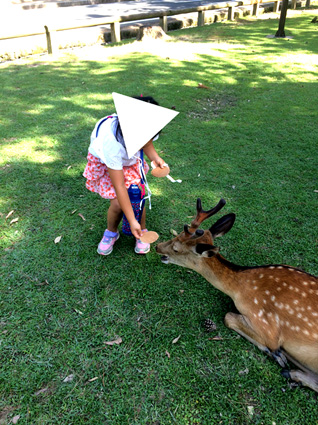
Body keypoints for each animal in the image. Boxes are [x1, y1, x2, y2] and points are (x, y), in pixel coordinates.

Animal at [156, 198, 318, 390]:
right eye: (177, 235)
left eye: (176, 248)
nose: (157, 247)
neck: (239, 289)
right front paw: (279, 357)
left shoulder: (266, 324)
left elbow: (229, 317)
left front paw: (275, 353)